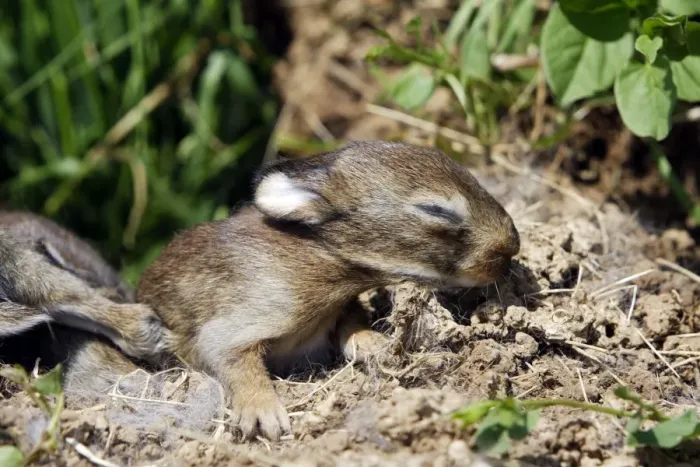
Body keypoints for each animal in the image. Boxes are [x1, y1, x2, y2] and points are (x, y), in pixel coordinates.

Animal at [137, 141, 520, 442]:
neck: (325, 253)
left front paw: (376, 344)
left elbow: (350, 327)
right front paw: (265, 415)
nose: (511, 244)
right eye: (435, 209)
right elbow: (234, 358)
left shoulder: (343, 306)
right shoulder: (246, 319)